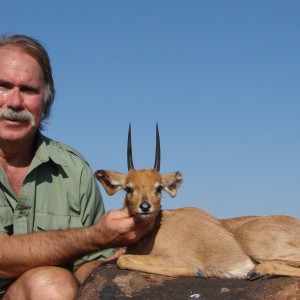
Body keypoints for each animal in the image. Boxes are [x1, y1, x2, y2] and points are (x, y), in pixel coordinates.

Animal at [95, 125, 300, 280]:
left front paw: (196, 270)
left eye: (159, 188)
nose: (145, 207)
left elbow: (123, 260)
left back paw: (258, 270)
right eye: (128, 188)